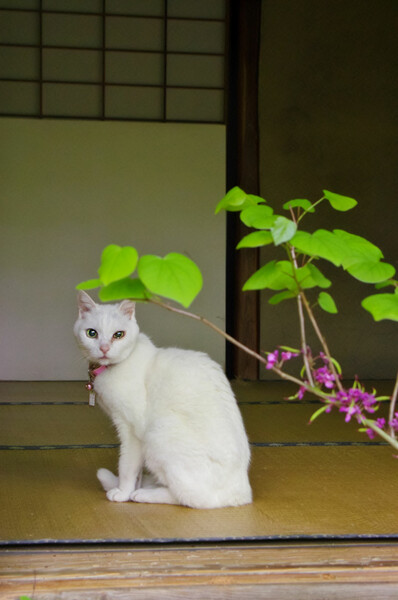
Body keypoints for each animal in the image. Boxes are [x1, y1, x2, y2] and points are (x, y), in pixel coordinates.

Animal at [74, 292, 252, 508]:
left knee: (190, 498)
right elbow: (137, 471)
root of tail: (243, 494)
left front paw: (123, 493)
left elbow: (127, 466)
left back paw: (144, 494)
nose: (104, 348)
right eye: (92, 333)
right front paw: (131, 489)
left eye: (119, 334)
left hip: (158, 434)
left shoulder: (131, 430)